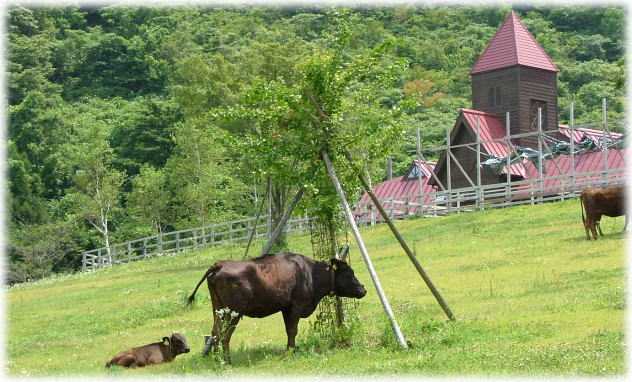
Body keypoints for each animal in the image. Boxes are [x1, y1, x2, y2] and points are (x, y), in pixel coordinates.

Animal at [185, 252, 368, 362]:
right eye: (349, 273)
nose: (363, 289)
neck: (311, 273)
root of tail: (220, 264)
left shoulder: (286, 308)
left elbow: (289, 330)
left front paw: (290, 349)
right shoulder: (296, 306)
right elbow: (293, 330)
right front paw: (291, 352)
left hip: (218, 309)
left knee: (215, 332)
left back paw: (218, 360)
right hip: (234, 312)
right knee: (225, 334)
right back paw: (227, 361)